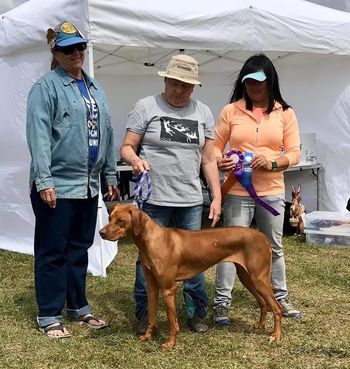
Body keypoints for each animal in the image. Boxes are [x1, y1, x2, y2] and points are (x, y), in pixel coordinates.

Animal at [98, 204, 282, 348]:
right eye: (109, 217)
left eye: (120, 220)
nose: (100, 233)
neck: (151, 240)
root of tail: (263, 236)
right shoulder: (152, 286)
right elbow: (152, 317)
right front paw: (147, 336)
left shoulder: (168, 289)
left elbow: (172, 322)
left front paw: (170, 343)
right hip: (248, 278)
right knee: (264, 304)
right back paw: (261, 325)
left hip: (259, 279)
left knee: (276, 307)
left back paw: (276, 335)